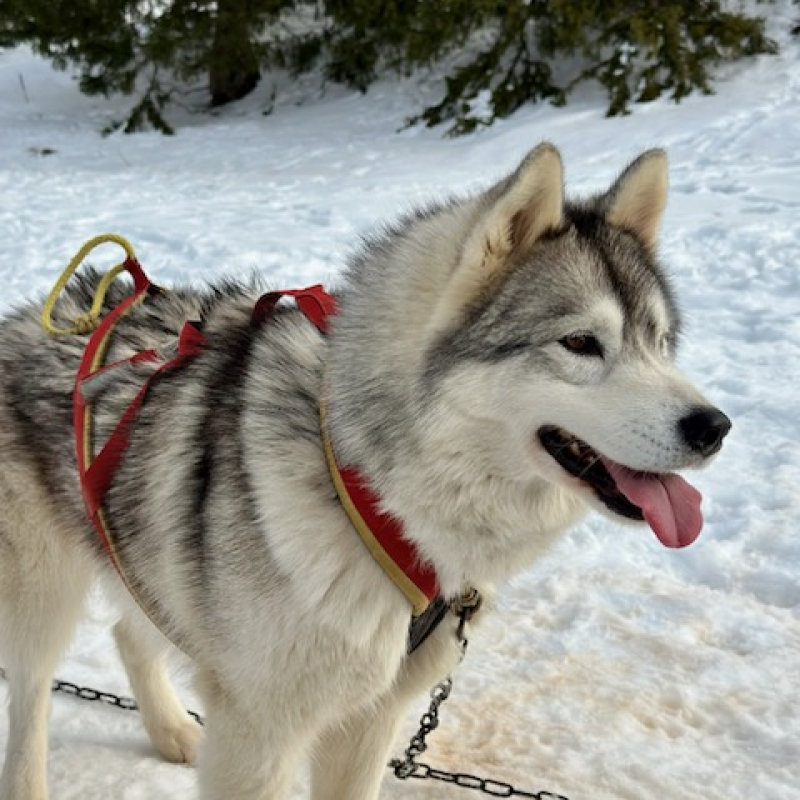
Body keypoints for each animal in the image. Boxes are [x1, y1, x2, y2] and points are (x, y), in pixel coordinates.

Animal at [0, 145, 728, 800]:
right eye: (580, 342)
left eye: (661, 343)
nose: (713, 427)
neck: (364, 491)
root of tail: (59, 306)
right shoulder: (258, 736)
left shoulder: (369, 719)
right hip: (43, 598)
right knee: (31, 697)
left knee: (129, 632)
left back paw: (172, 730)